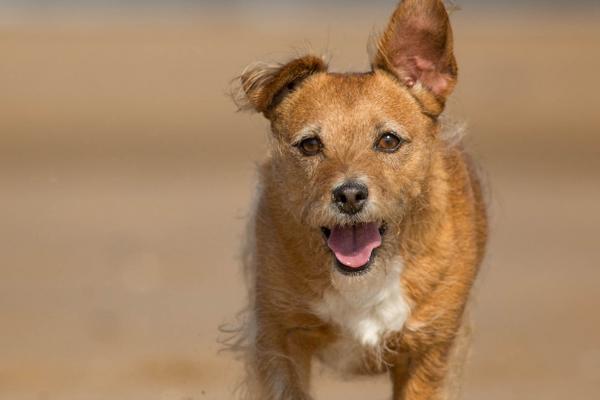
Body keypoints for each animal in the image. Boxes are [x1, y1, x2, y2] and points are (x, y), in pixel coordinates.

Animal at [230, 0, 488, 400]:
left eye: (389, 140)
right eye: (310, 145)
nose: (349, 194)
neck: (364, 281)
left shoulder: (429, 350)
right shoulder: (278, 338)